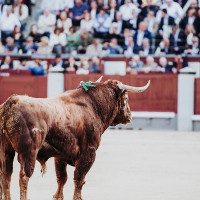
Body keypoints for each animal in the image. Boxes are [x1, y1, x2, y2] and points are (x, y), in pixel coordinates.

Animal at [0, 77, 150, 200]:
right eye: (126, 99)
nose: (129, 117)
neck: (93, 106)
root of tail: (11, 103)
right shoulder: (89, 153)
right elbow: (79, 178)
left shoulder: (60, 155)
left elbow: (62, 178)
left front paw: (58, 197)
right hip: (29, 151)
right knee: (24, 176)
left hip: (7, 151)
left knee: (6, 175)